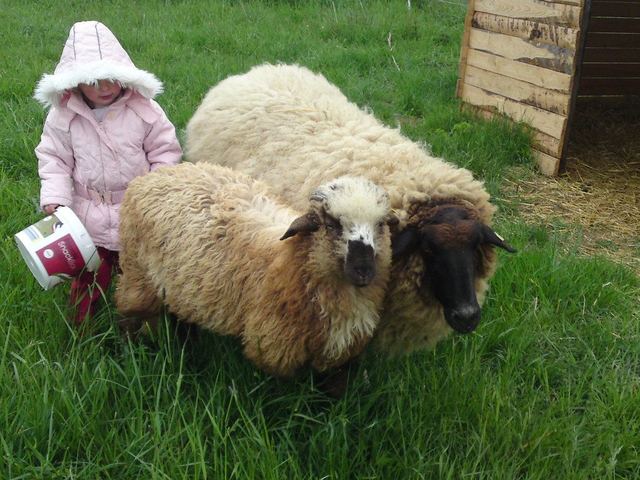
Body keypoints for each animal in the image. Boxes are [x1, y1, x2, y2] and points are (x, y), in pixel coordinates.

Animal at [115, 162, 393, 380]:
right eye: (332, 224)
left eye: (380, 224)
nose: (363, 270)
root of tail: (154, 175)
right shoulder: (271, 345)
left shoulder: (341, 352)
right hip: (137, 274)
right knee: (132, 312)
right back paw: (132, 349)